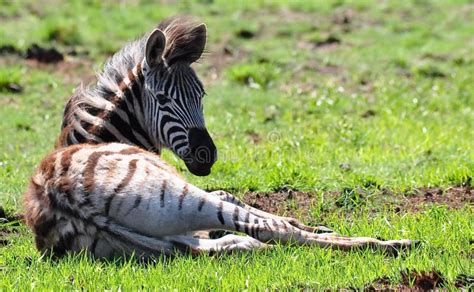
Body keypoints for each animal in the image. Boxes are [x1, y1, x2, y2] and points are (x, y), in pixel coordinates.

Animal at [24, 143, 414, 258]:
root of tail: (58, 193)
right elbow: (253, 209)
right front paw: (316, 226)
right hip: (179, 196)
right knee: (269, 230)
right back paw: (390, 244)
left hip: (167, 221)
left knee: (227, 241)